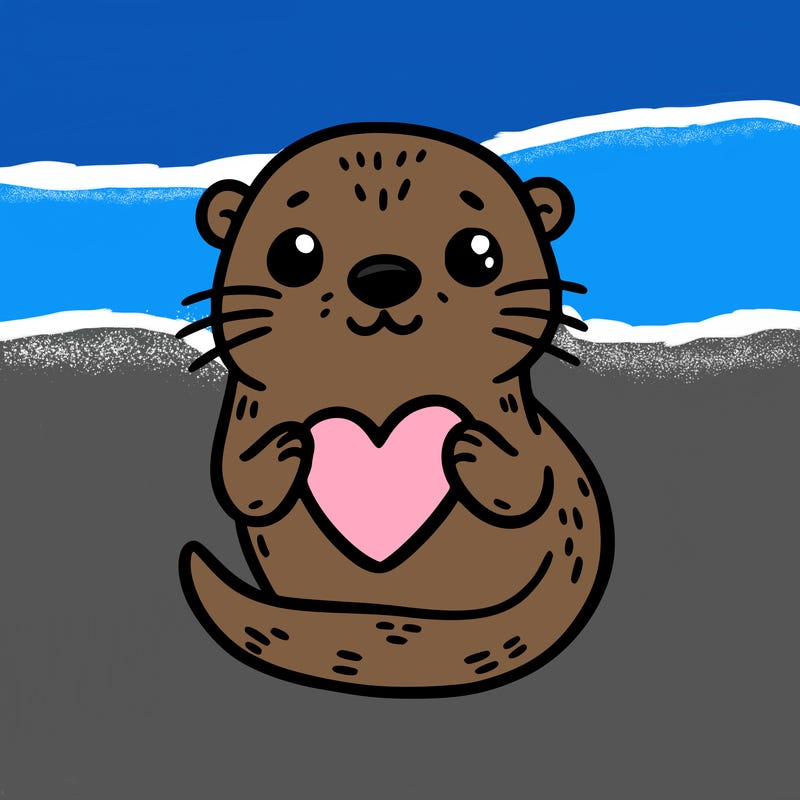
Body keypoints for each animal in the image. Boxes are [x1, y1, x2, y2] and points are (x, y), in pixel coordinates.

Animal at [178, 123, 613, 697]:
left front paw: (467, 445)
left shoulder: (510, 406)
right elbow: (239, 482)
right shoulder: (250, 402)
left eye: (479, 253)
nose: (383, 274)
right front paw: (292, 445)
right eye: (293, 254)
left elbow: (522, 485)